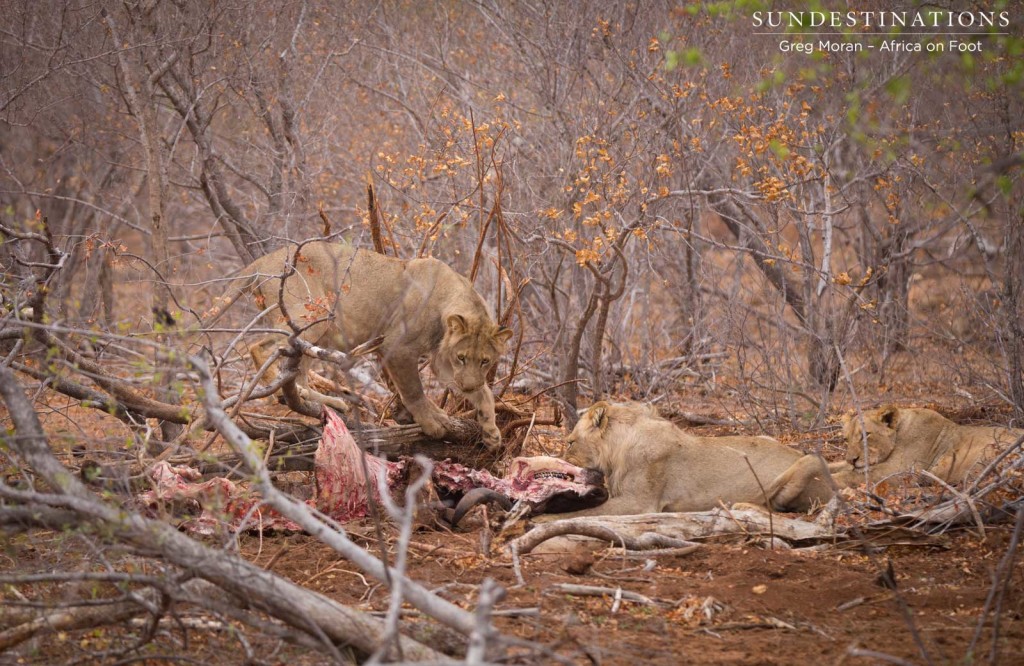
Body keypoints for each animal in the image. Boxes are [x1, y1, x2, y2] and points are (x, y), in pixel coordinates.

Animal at [223, 240, 512, 448]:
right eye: (462, 357)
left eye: (485, 361)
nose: (468, 386)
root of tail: (261, 260)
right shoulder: (398, 347)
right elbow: (414, 392)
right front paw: (432, 423)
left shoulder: (442, 359)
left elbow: (484, 394)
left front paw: (491, 432)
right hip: (309, 317)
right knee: (259, 347)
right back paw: (280, 389)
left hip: (316, 331)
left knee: (300, 371)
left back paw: (325, 400)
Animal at [831, 401, 1024, 485]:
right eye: (846, 439)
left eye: (865, 435)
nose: (852, 460)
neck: (900, 431)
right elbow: (838, 466)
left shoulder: (901, 470)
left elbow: (853, 475)